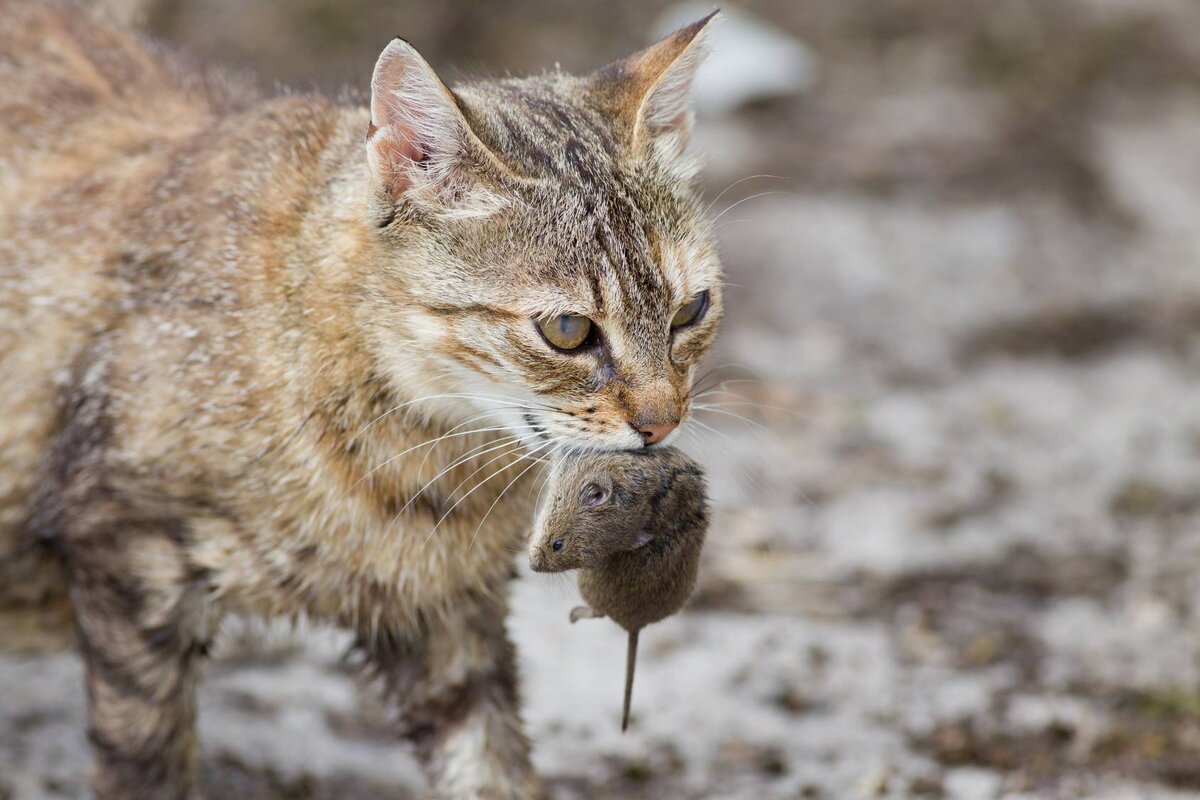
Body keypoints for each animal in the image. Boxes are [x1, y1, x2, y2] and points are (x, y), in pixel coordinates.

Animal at [0, 3, 720, 796]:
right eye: (568, 330)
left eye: (691, 310)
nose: (662, 422)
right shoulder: (130, 558)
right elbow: (147, 766)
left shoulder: (447, 613)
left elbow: (491, 766)